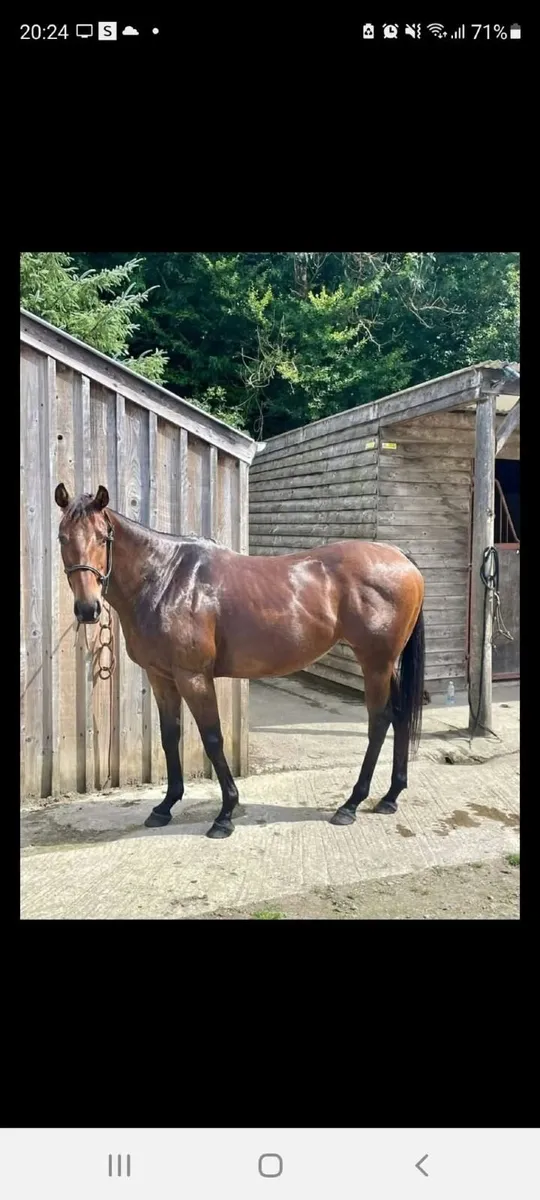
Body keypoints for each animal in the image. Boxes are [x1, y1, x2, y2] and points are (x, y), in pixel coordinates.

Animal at [55, 483, 425, 839]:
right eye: (62, 537)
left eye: (102, 537)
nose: (87, 609)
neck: (166, 579)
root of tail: (400, 558)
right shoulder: (161, 676)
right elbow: (170, 736)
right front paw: (165, 806)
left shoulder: (193, 677)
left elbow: (212, 738)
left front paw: (225, 814)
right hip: (387, 665)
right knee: (399, 715)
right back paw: (390, 797)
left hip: (374, 664)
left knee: (379, 721)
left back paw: (351, 804)